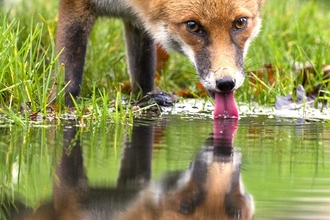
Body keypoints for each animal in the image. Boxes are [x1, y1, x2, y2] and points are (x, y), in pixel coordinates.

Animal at [56, 0, 262, 117]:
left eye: (240, 22)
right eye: (192, 26)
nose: (226, 83)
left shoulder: (138, 20)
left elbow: (143, 75)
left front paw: (146, 101)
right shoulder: (75, 6)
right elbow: (68, 78)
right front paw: (62, 108)